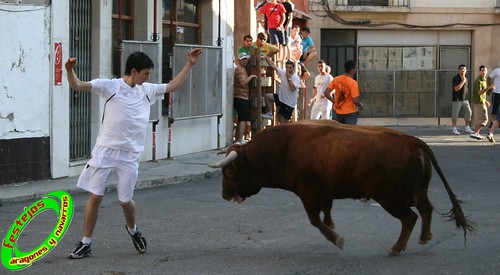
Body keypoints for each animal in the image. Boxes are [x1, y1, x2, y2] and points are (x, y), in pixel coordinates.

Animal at [209, 121, 474, 256]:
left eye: (230, 172)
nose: (223, 195)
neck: (282, 147)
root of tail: (411, 141)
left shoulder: (308, 192)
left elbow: (315, 220)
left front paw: (336, 238)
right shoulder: (325, 190)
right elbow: (326, 212)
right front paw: (333, 228)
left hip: (391, 198)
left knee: (410, 217)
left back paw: (397, 247)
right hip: (418, 190)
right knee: (426, 209)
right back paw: (424, 237)